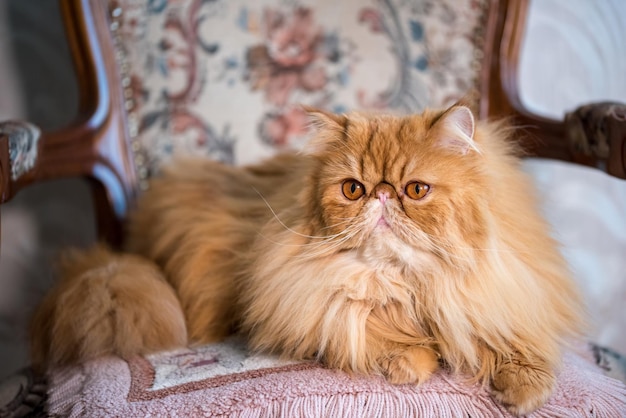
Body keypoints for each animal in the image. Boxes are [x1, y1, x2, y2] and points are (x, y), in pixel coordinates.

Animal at [31, 104, 584, 414]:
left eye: (415, 190)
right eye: (354, 189)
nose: (382, 196)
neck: (410, 284)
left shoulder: (502, 297)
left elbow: (515, 345)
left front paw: (524, 393)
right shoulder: (323, 309)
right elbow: (385, 336)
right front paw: (409, 363)